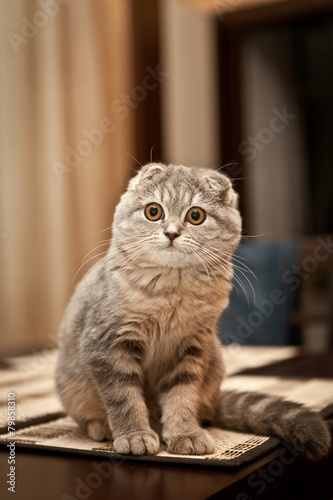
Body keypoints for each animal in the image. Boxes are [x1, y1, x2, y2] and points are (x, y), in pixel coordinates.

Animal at [54, 164, 330, 460]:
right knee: (88, 416)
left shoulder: (191, 347)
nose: (171, 233)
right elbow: (124, 398)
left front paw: (185, 433)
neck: (171, 293)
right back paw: (103, 426)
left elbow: (182, 398)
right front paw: (134, 435)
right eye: (154, 211)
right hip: (72, 386)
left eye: (195, 215)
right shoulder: (109, 344)